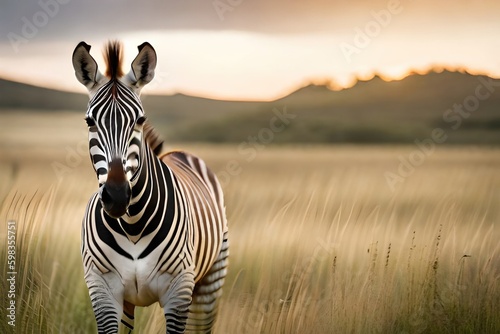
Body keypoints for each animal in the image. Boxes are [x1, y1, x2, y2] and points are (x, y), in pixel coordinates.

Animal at [72, 40, 229, 332]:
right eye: (89, 122)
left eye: (140, 120)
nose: (117, 196)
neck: (133, 225)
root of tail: (178, 153)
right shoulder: (102, 288)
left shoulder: (179, 291)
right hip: (128, 303)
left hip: (211, 279)